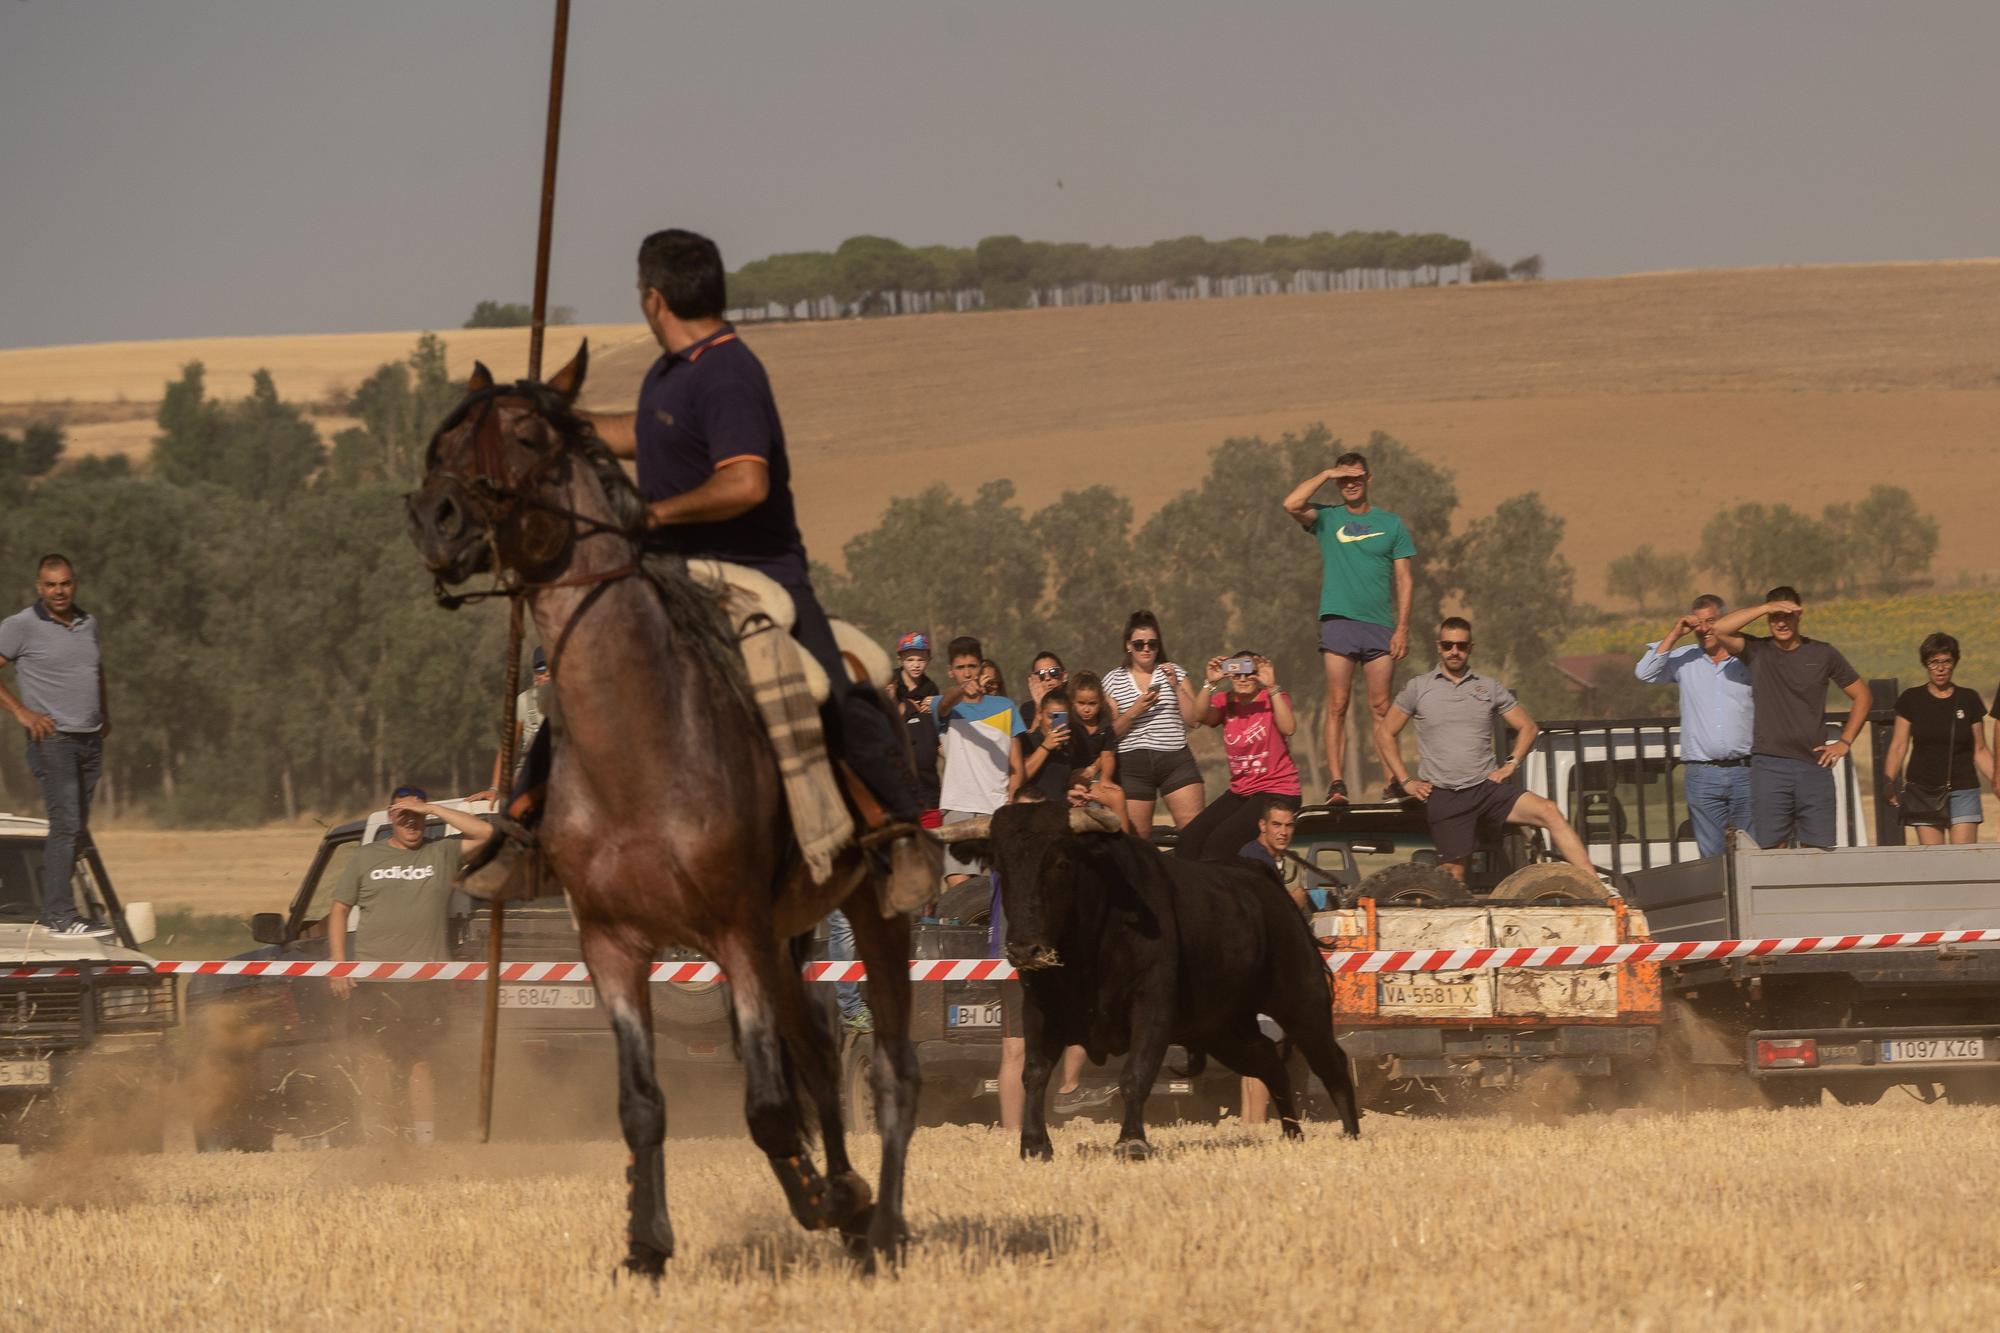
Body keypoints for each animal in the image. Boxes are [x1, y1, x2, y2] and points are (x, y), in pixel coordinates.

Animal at [406, 340, 920, 1264]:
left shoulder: (736, 932)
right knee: (819, 1051)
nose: (437, 517)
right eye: (447, 443)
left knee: (894, 1068)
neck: (639, 744)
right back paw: (857, 1206)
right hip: (787, 933)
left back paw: (884, 1223)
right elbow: (643, 1103)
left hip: (869, 910)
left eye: (529, 436)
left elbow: (766, 1107)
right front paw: (647, 1245)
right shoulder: (613, 944)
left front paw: (818, 1198)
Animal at [940, 800, 1360, 1152]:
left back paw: (1351, 1133)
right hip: (1223, 1030)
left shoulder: (1152, 1006)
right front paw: (1034, 1144)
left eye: (1060, 863)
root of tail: (1268, 882)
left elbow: (1135, 1075)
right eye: (1001, 865)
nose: (1025, 949)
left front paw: (1132, 1142)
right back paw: (1292, 1134)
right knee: (1270, 1062)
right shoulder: (1039, 1010)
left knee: (1332, 1063)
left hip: (1302, 1002)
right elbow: (1034, 1073)